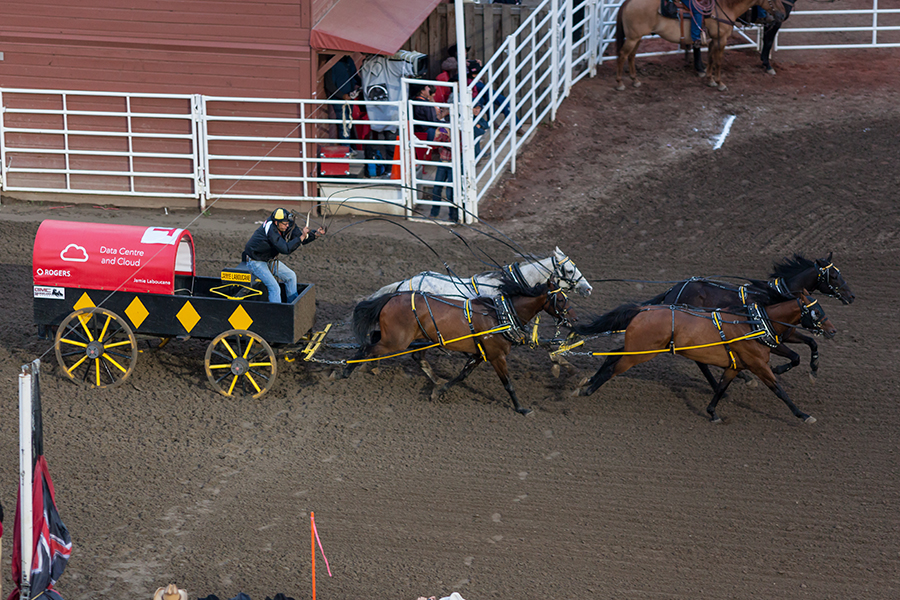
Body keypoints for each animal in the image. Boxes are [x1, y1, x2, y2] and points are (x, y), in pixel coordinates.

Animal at [344, 278, 576, 414]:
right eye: (561, 299)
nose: (573, 319)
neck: (500, 315)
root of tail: (392, 296)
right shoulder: (496, 356)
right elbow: (508, 384)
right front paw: (521, 408)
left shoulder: (479, 355)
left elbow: (462, 375)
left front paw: (439, 391)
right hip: (396, 341)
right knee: (367, 349)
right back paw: (345, 372)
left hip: (397, 337)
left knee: (374, 340)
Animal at [576, 294, 836, 424]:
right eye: (816, 311)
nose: (833, 331)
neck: (755, 324)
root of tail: (643, 309)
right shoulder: (758, 365)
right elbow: (779, 390)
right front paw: (803, 415)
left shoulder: (736, 365)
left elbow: (721, 387)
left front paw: (712, 412)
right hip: (639, 354)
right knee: (613, 367)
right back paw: (588, 390)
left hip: (637, 348)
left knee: (610, 358)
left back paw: (588, 382)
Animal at [612, 0, 788, 91]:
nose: (782, 15)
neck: (725, 7)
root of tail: (628, 2)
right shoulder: (721, 40)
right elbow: (718, 62)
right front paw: (720, 83)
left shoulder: (713, 40)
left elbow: (710, 60)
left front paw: (710, 80)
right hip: (633, 38)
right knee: (622, 56)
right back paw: (620, 83)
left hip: (637, 37)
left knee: (631, 56)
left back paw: (635, 80)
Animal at [644, 253, 856, 390]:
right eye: (834, 275)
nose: (851, 296)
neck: (776, 297)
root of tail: (672, 290)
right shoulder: (772, 340)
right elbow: (795, 357)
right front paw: (778, 369)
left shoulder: (788, 333)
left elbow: (811, 343)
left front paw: (814, 370)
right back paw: (739, 378)